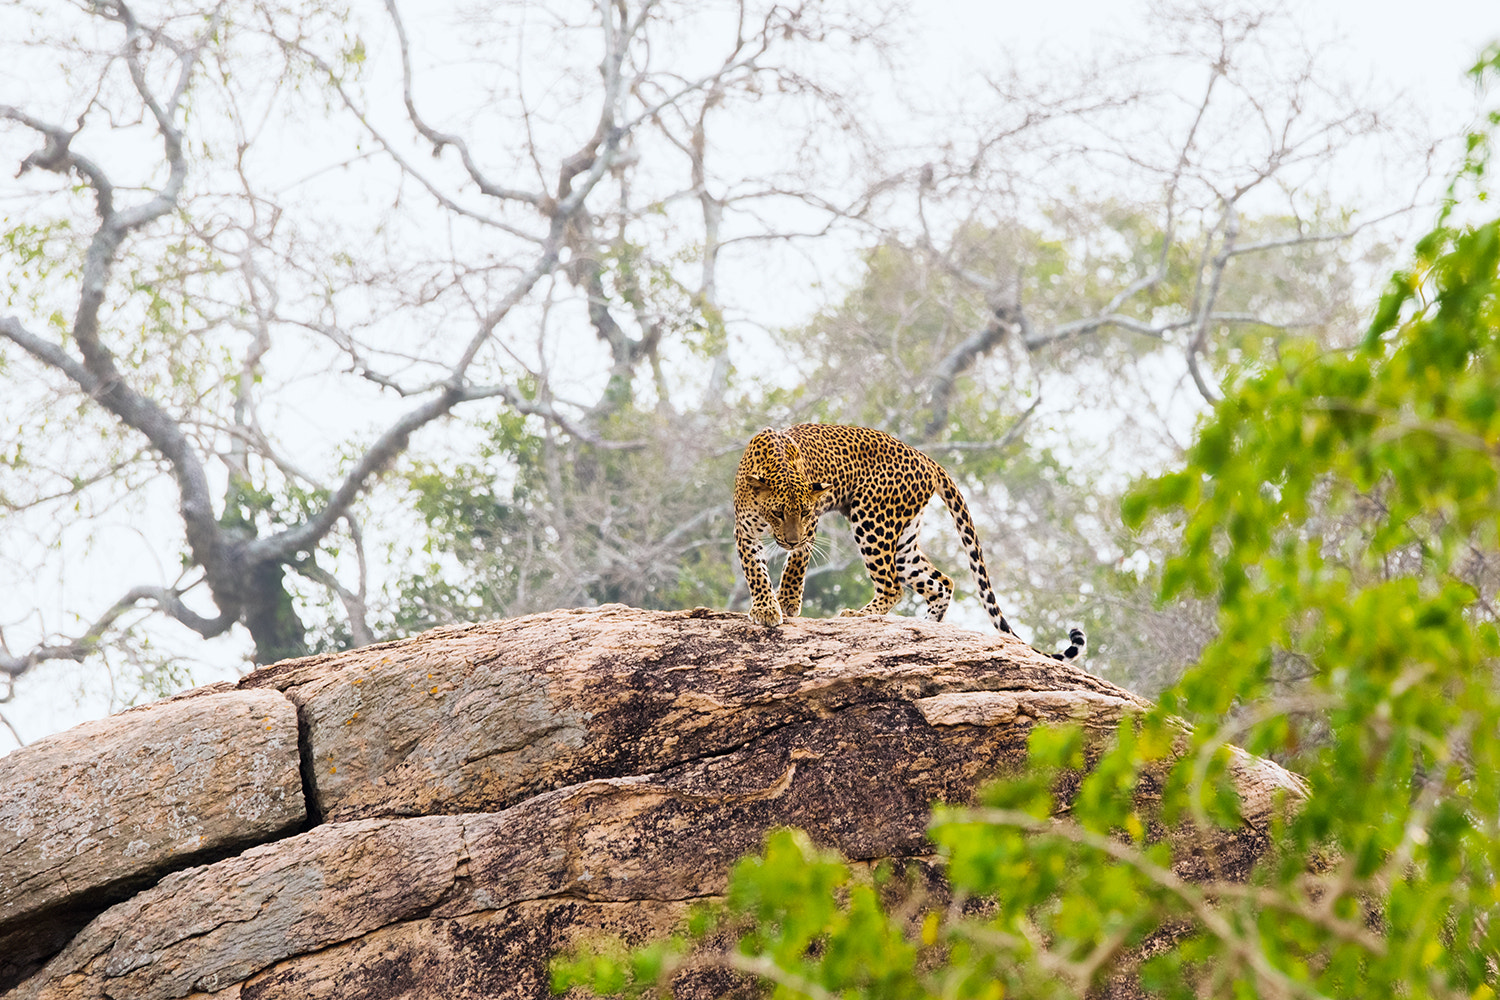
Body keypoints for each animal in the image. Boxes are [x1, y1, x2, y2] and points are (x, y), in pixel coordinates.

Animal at [732, 422, 1086, 665]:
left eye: (805, 513)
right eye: (778, 512)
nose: (792, 539)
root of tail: (925, 457)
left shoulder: (813, 525)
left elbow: (796, 563)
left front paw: (785, 602)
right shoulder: (744, 531)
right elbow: (755, 570)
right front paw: (766, 608)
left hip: (872, 521)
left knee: (892, 586)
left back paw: (859, 615)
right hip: (903, 541)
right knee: (942, 582)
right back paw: (927, 629)